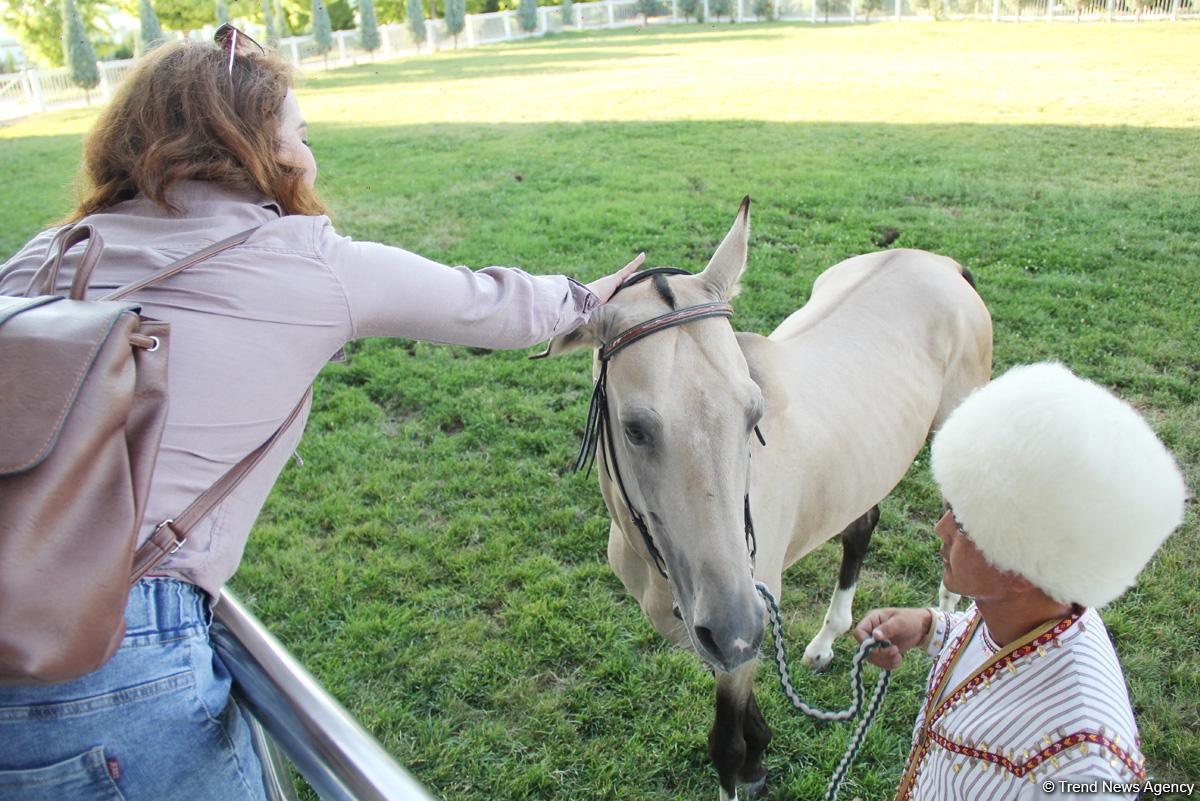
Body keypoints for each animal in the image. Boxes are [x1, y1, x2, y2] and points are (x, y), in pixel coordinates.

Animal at [540, 195, 988, 801]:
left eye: (754, 412)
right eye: (634, 429)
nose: (735, 624)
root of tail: (942, 265)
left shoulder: (742, 628)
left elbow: (725, 747)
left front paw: (746, 761)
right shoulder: (718, 639)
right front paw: (760, 755)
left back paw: (947, 613)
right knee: (861, 526)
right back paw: (827, 641)